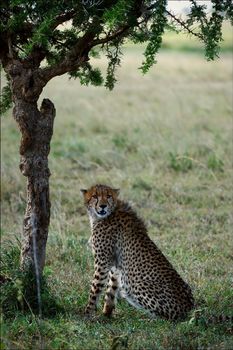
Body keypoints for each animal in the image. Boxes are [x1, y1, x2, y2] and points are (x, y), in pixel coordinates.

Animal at [81, 183, 194, 320]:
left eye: (108, 196)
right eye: (94, 196)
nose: (103, 206)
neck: (109, 213)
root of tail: (190, 308)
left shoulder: (102, 262)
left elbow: (95, 288)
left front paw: (87, 314)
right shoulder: (115, 265)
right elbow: (111, 289)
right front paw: (106, 314)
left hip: (135, 285)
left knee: (167, 318)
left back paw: (147, 319)